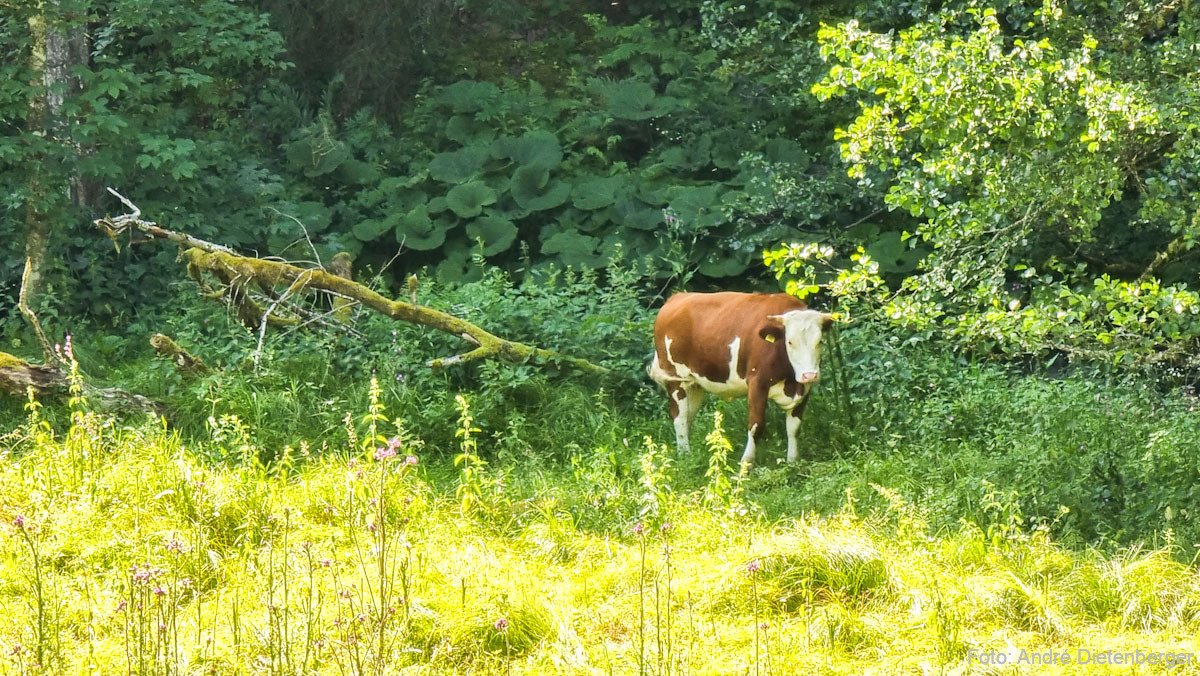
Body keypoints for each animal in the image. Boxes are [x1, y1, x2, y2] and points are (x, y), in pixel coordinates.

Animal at [648, 292, 835, 466]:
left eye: (820, 341)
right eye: (789, 342)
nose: (809, 374)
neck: (790, 380)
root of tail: (677, 297)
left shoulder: (804, 388)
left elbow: (794, 428)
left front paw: (792, 462)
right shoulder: (757, 383)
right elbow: (756, 426)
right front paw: (746, 464)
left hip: (694, 383)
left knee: (688, 416)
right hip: (675, 377)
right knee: (679, 417)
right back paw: (684, 455)